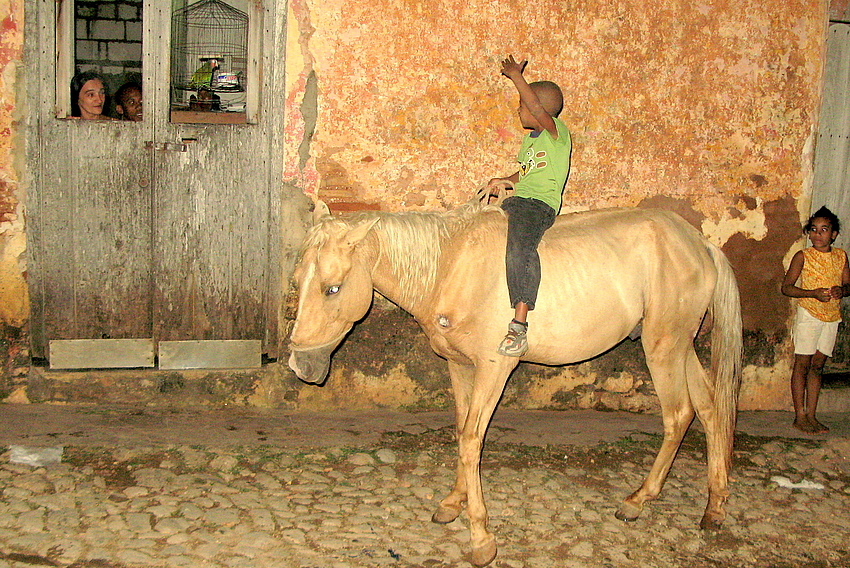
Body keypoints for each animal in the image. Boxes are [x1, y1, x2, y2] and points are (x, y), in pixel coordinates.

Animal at [284, 197, 736, 564]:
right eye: (297, 282)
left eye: (332, 289)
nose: (299, 364)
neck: (449, 266)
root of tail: (700, 243)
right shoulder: (459, 367)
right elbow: (462, 433)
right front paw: (453, 502)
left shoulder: (492, 369)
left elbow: (472, 441)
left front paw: (480, 537)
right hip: (681, 345)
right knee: (709, 407)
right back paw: (715, 505)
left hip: (663, 346)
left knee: (678, 414)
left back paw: (639, 500)